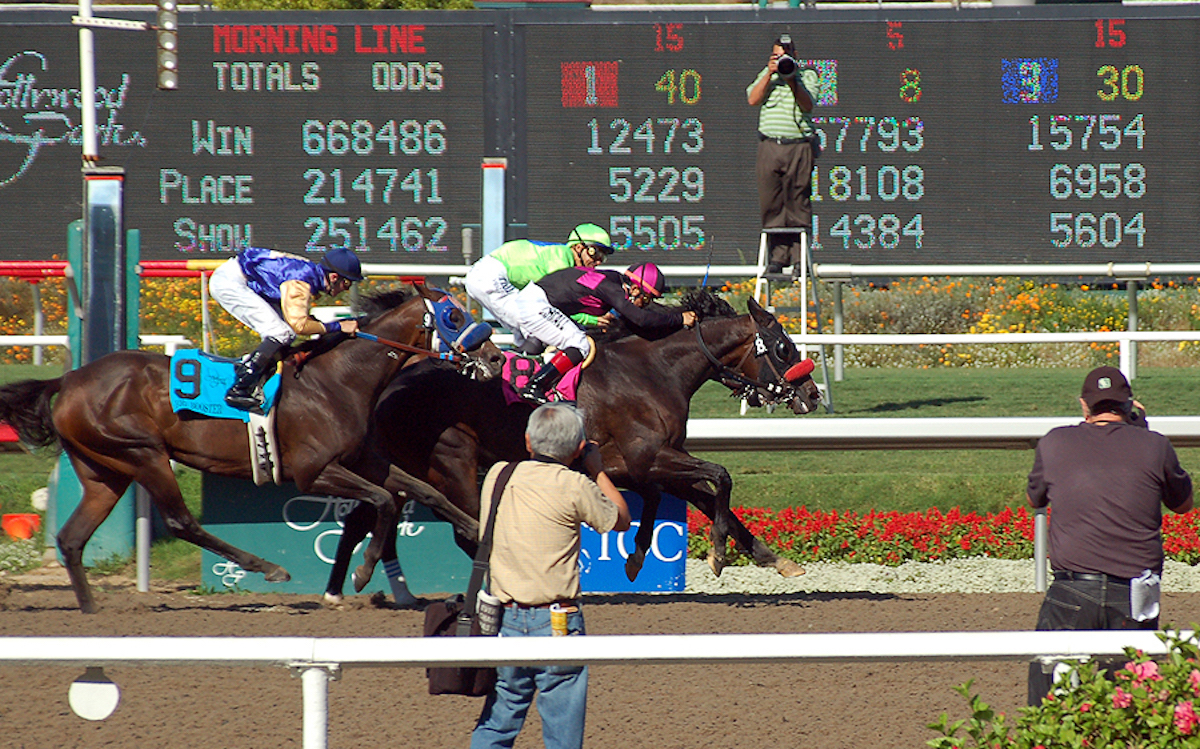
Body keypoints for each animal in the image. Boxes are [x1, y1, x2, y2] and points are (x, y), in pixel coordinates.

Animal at [0, 283, 501, 612]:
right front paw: (362, 573)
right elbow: (383, 501)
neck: (338, 380)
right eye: (454, 316)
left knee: (72, 538)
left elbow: (423, 491)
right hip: (142, 454)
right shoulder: (313, 472)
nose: (495, 357)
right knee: (182, 522)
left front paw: (476, 529)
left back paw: (92, 612)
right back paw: (268, 568)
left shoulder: (366, 460)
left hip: (105, 470)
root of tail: (69, 378)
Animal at [324, 288, 820, 602]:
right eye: (783, 347)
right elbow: (721, 476)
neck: (654, 370)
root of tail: (395, 379)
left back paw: (356, 585)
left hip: (402, 461)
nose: (813, 395)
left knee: (375, 509)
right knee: (467, 528)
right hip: (453, 460)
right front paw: (715, 555)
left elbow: (695, 497)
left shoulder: (642, 464)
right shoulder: (652, 457)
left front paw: (774, 559)